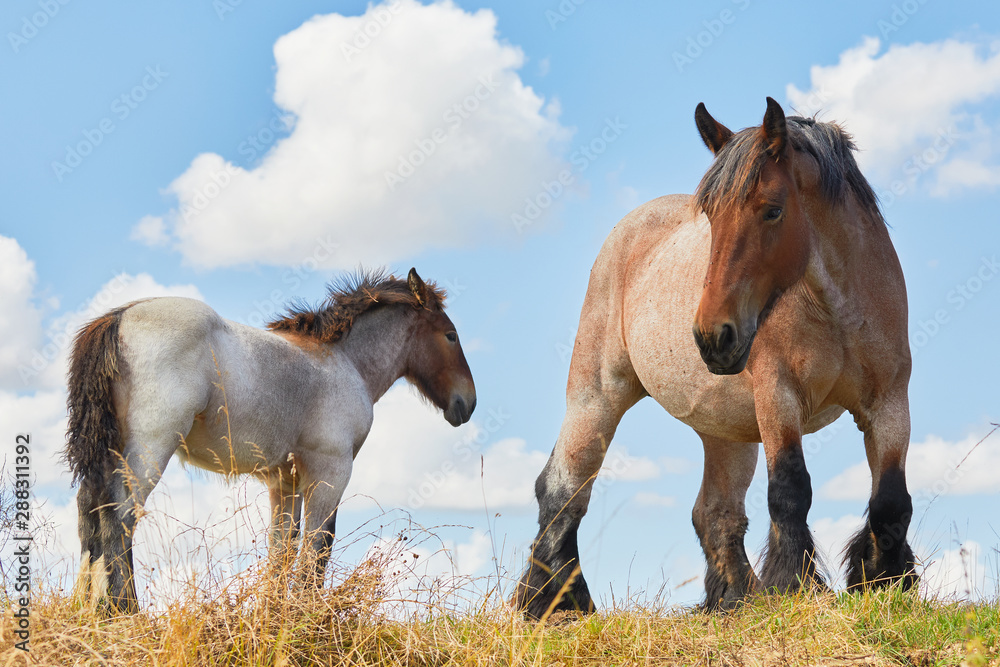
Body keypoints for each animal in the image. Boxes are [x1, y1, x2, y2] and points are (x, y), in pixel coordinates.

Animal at [65, 268, 476, 614]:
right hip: (150, 448)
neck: (345, 362)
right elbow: (317, 545)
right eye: (451, 335)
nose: (467, 403)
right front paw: (306, 616)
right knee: (120, 516)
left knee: (90, 513)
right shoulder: (331, 471)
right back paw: (124, 611)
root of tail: (119, 317)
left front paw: (274, 615)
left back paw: (85, 609)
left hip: (109, 453)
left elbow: (283, 548)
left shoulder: (284, 481)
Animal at [515, 98, 917, 618]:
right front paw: (793, 586)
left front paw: (885, 583)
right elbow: (790, 491)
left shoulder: (888, 403)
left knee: (715, 512)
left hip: (726, 432)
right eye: (709, 214)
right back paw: (557, 600)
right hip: (596, 396)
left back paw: (732, 599)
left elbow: (891, 500)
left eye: (773, 210)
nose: (712, 336)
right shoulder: (778, 396)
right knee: (563, 489)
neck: (839, 310)